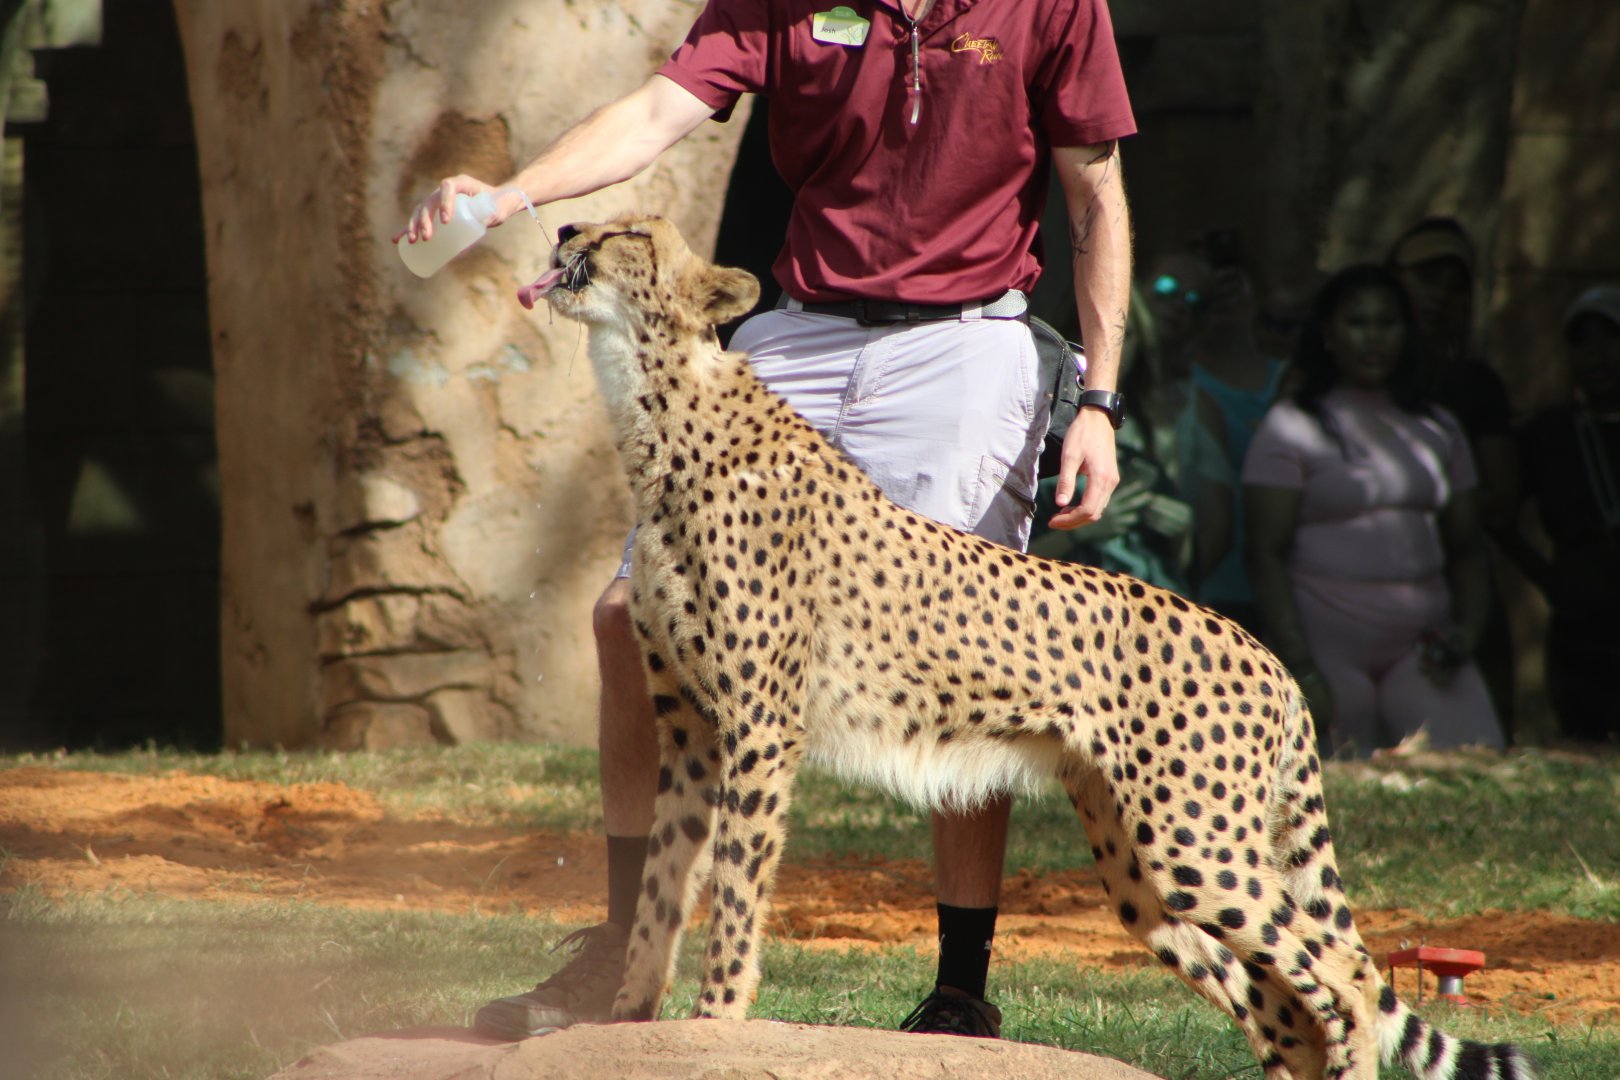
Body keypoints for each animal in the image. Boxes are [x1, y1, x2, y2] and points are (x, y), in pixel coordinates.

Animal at [519, 213, 1536, 1080]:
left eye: (632, 233)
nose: (564, 228)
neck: (662, 416)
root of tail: (1265, 649)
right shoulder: (690, 724)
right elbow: (661, 883)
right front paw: (626, 1016)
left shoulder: (759, 729)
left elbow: (732, 888)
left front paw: (717, 1021)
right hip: (1144, 872)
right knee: (1285, 1005)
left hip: (1200, 846)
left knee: (1346, 983)